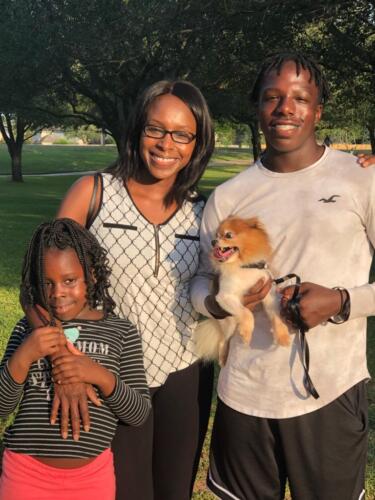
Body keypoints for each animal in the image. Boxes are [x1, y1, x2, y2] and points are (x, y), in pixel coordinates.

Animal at [194, 216, 290, 368]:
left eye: (228, 235)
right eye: (216, 235)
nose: (213, 241)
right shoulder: (225, 297)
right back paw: (223, 357)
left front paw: (283, 335)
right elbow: (246, 313)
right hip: (229, 323)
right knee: (223, 340)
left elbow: (276, 316)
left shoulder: (268, 294)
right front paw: (246, 331)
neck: (244, 266)